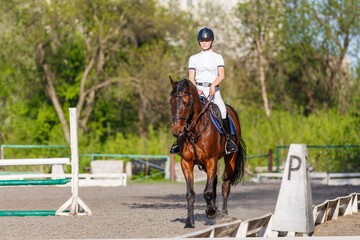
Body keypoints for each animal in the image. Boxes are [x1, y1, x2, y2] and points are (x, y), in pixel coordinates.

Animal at [170, 77, 246, 229]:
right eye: (171, 103)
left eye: (187, 103)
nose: (177, 131)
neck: (194, 131)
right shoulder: (186, 163)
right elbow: (190, 194)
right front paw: (189, 222)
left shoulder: (211, 160)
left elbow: (208, 192)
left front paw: (211, 212)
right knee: (215, 181)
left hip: (230, 159)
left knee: (225, 185)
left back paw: (223, 213)